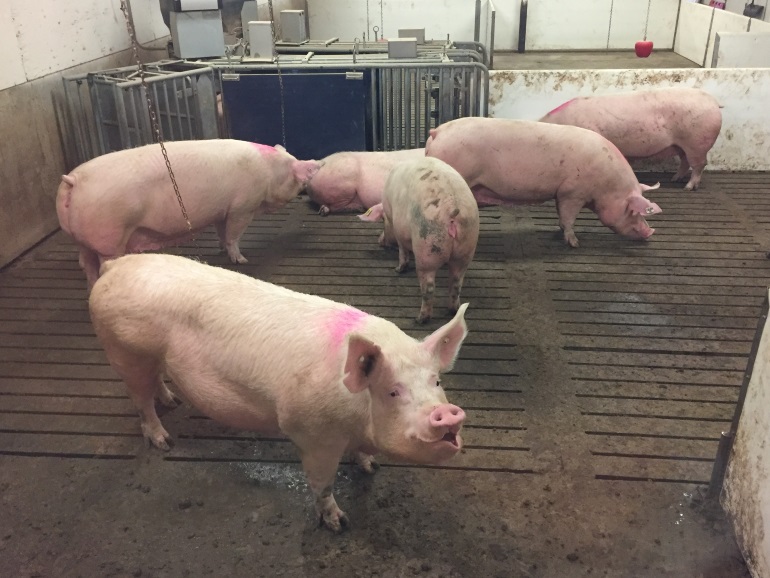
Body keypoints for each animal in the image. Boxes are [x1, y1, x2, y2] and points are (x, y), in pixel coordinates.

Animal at [56, 139, 319, 288]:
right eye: (296, 171)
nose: (314, 165)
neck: (270, 171)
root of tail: (73, 180)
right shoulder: (242, 207)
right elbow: (234, 235)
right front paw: (241, 260)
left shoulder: (222, 211)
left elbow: (222, 233)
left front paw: (221, 250)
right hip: (109, 238)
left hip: (81, 240)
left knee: (86, 264)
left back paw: (91, 287)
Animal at [89, 253, 469, 532]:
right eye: (392, 392)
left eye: (436, 382)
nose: (447, 413)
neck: (357, 416)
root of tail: (114, 266)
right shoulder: (312, 434)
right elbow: (322, 484)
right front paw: (339, 523)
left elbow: (362, 458)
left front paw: (371, 467)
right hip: (125, 352)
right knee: (140, 402)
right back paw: (164, 441)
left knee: (156, 383)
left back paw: (173, 400)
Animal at [358, 157, 480, 324]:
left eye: (383, 219)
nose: (379, 241)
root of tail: (452, 209)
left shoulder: (399, 230)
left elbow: (402, 250)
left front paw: (398, 269)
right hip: (466, 247)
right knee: (456, 283)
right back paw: (453, 310)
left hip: (426, 247)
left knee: (428, 288)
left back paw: (420, 319)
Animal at [425, 117, 662, 248]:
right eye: (634, 211)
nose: (650, 232)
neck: (607, 185)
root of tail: (437, 131)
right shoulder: (572, 192)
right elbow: (568, 218)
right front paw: (575, 244)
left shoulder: (561, 193)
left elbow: (562, 217)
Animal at [539, 87, 722, 191]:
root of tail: (713, 102)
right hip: (681, 145)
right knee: (685, 162)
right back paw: (674, 179)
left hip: (697, 143)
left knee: (699, 165)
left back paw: (688, 188)